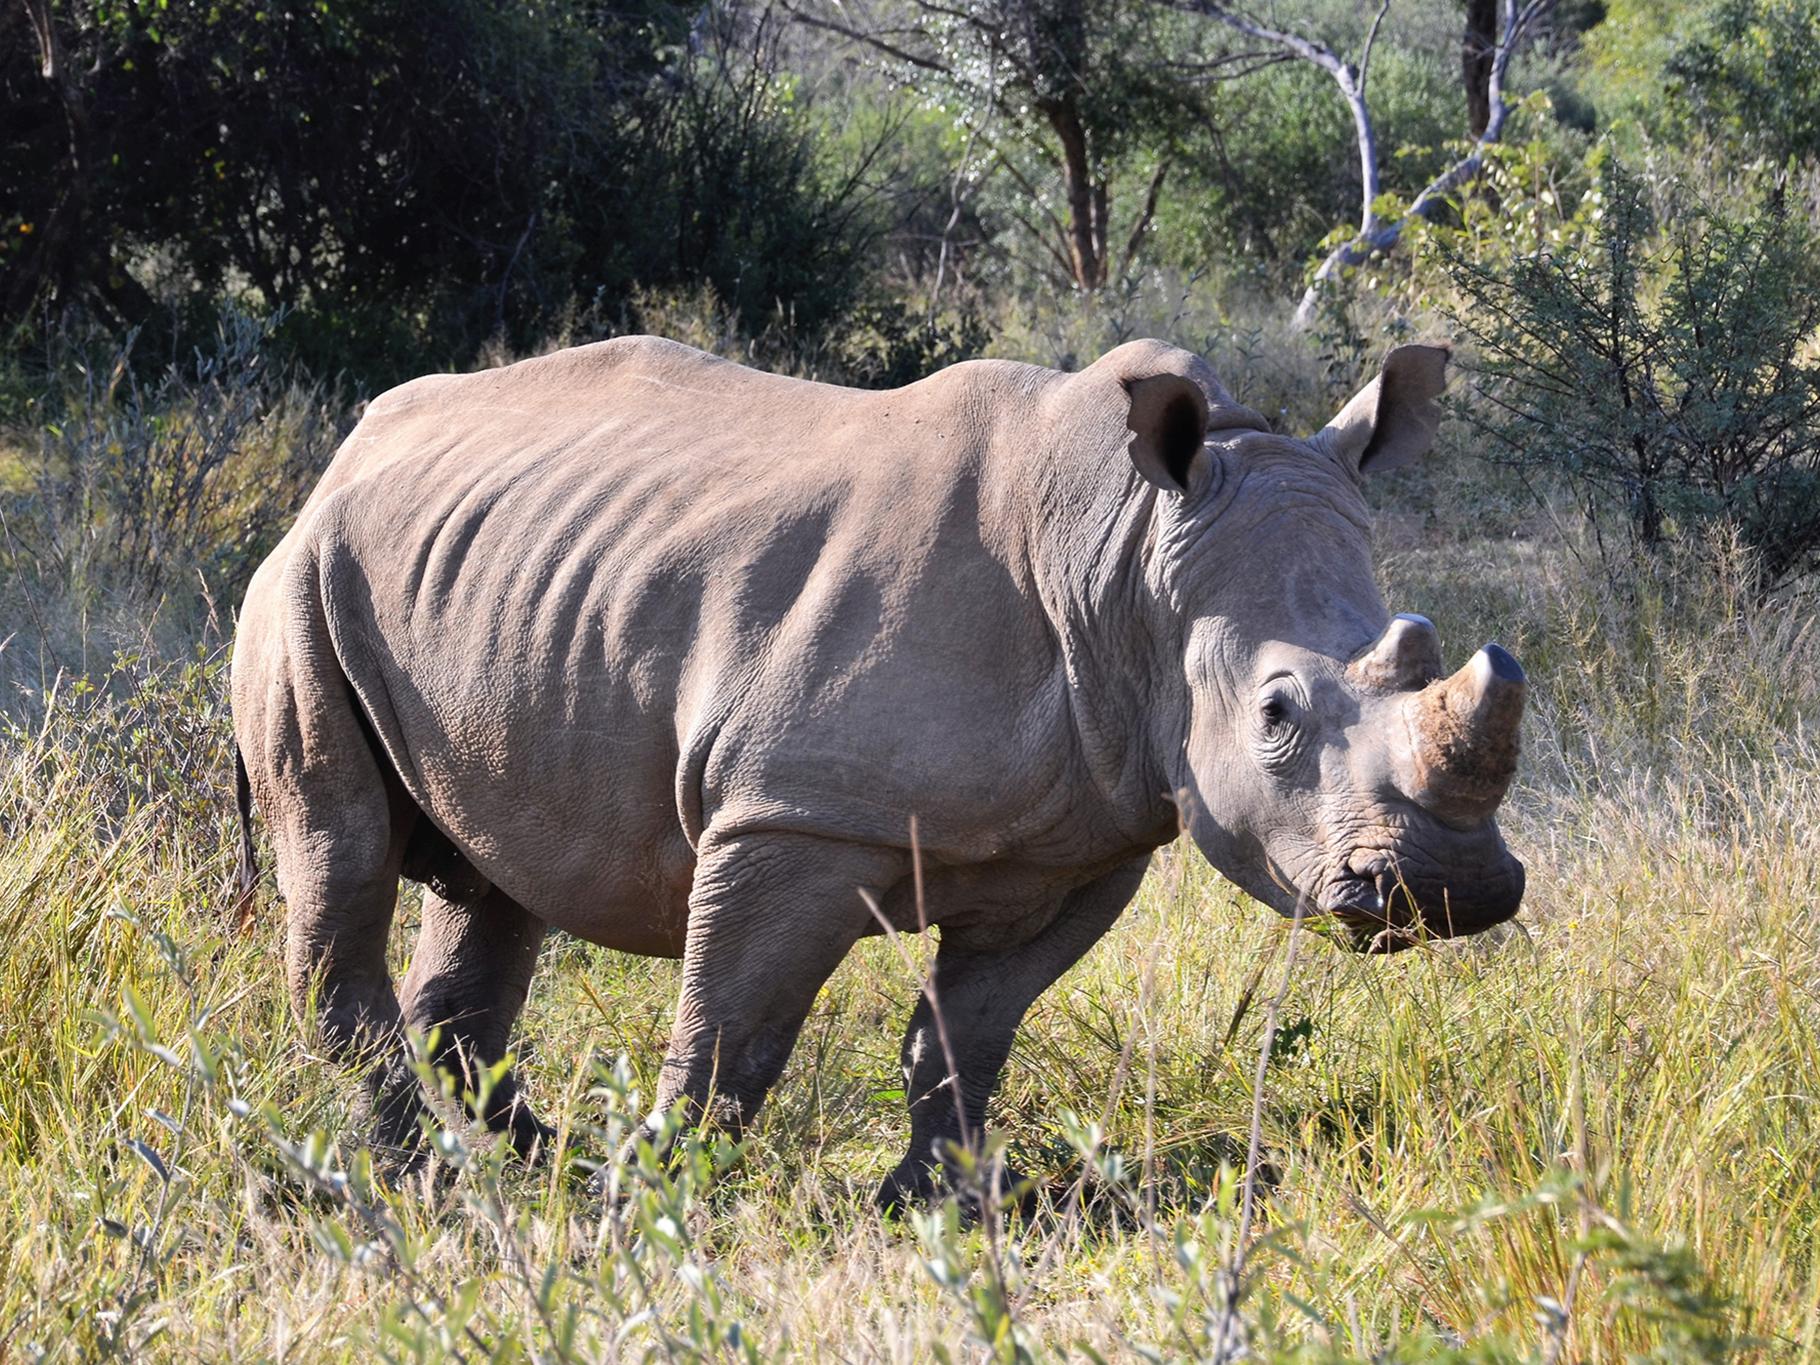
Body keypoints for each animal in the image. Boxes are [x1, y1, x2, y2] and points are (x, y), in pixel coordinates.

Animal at [231, 335, 1525, 1206]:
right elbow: (733, 1030)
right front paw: (657, 1191)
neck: (1125, 566)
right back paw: (424, 1176)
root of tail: (342, 457)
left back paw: (516, 1158)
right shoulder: (790, 814)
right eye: (1274, 713)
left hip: (487, 591)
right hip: (298, 584)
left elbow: (966, 1037)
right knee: (341, 852)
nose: (1450, 892)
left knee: (492, 878)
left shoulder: (1086, 845)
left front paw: (934, 1203)